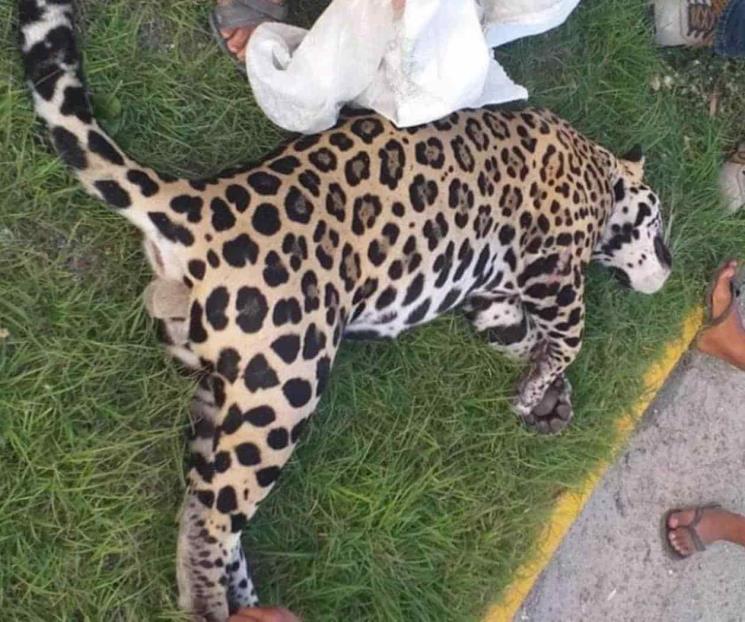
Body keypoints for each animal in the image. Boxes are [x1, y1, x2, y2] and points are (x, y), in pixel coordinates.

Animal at [18, 1, 672, 619]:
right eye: (660, 223)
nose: (668, 268)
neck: (598, 165)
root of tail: (200, 200)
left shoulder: (493, 299)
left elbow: (523, 337)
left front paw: (546, 398)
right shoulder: (554, 268)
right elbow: (567, 337)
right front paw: (540, 389)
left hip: (221, 384)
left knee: (203, 498)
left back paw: (240, 595)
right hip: (286, 381)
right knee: (216, 512)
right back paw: (207, 603)